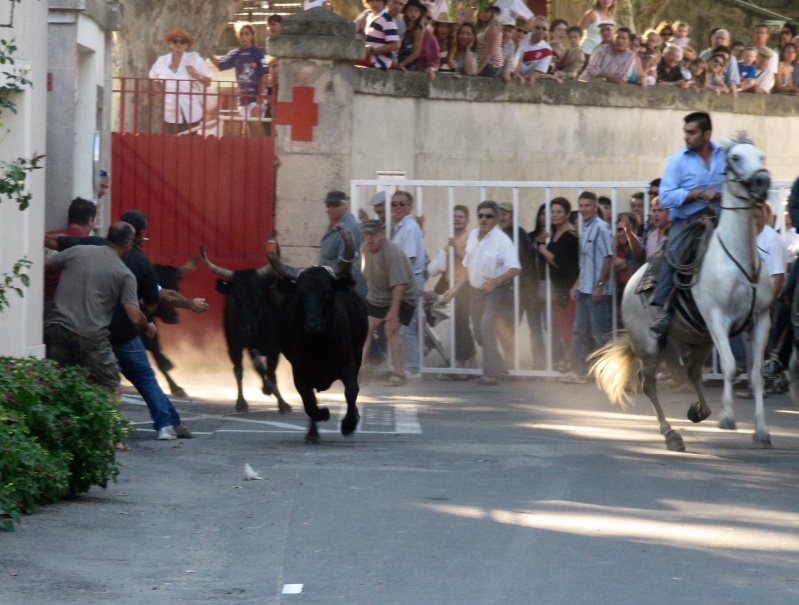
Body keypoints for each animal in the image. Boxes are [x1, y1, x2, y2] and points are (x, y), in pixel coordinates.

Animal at [592, 134, 772, 450]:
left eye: (761, 156)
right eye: (735, 157)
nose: (762, 181)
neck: (738, 259)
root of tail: (630, 282)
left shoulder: (761, 319)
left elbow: (756, 376)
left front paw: (761, 432)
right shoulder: (718, 320)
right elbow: (728, 366)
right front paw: (728, 419)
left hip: (698, 339)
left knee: (690, 371)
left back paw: (699, 411)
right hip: (649, 343)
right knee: (648, 383)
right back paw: (671, 434)